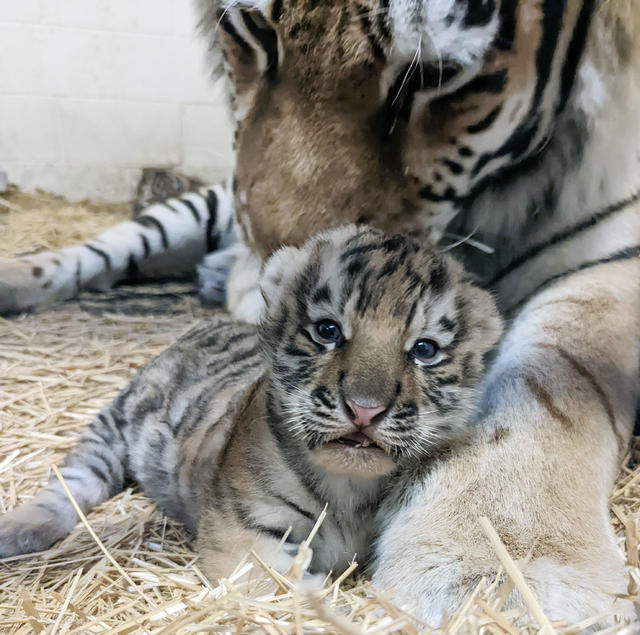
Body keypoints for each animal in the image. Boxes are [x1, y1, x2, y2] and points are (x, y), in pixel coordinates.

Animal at [0, 0, 636, 628]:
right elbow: (295, 598)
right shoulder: (244, 535)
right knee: (77, 459)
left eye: (424, 350)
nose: (366, 410)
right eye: (328, 332)